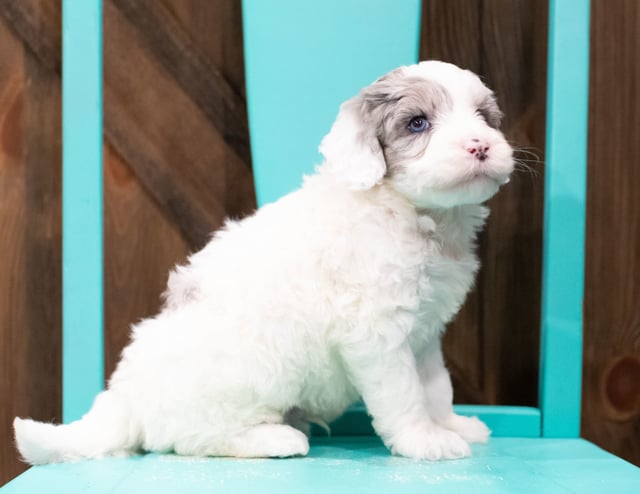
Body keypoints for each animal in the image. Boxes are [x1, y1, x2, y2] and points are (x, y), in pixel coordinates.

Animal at [13, 60, 516, 464]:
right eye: (417, 123)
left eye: (483, 117)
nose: (480, 145)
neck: (413, 212)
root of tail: (126, 399)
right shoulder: (377, 334)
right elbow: (405, 393)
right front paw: (424, 440)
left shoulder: (425, 333)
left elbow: (435, 387)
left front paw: (451, 425)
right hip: (252, 374)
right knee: (188, 439)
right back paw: (274, 439)